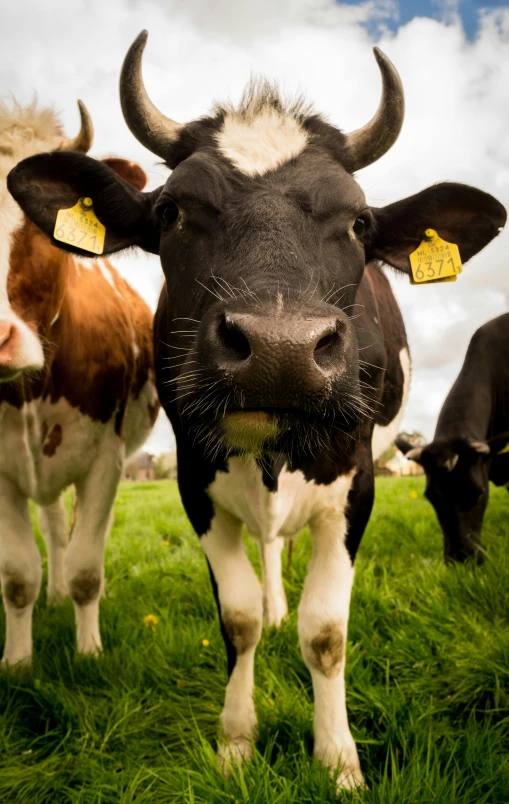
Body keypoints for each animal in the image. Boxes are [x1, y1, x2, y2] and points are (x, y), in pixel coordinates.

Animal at [0, 99, 158, 664]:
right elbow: (17, 575)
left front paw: (89, 651)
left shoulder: (106, 459)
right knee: (52, 525)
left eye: (38, 221)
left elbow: (87, 566)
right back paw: (54, 594)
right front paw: (18, 661)